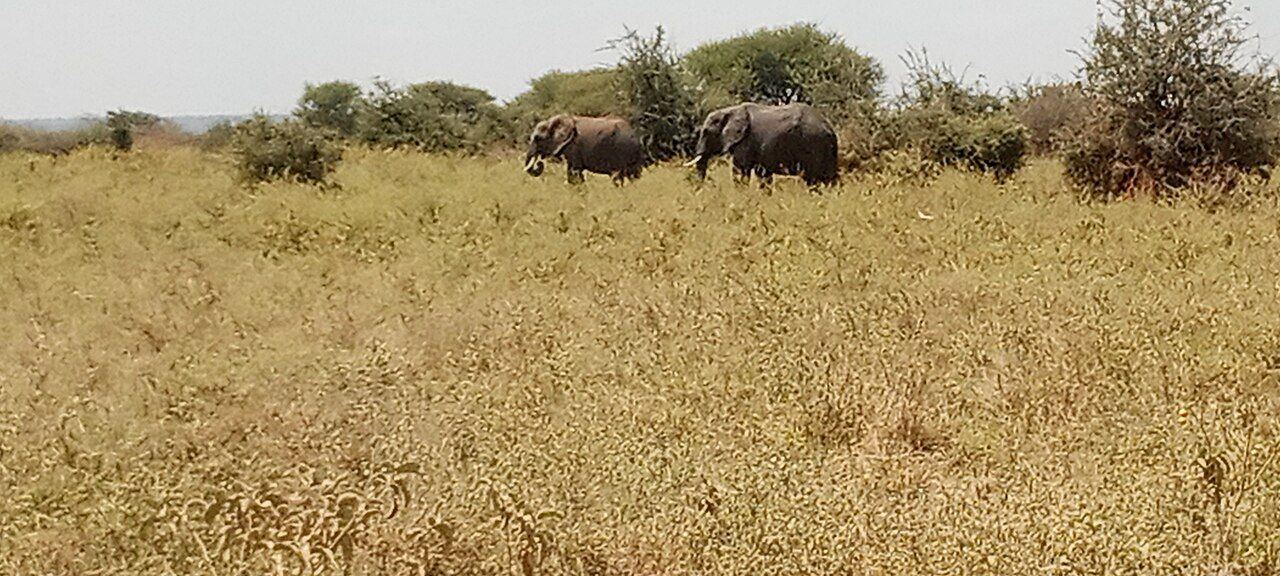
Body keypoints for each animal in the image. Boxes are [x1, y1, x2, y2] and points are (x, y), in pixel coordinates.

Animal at [688, 103, 839, 186]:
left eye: (706, 132)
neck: (730, 111)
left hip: (814, 145)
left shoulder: (746, 141)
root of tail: (830, 129)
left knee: (813, 179)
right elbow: (763, 174)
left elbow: (741, 171)